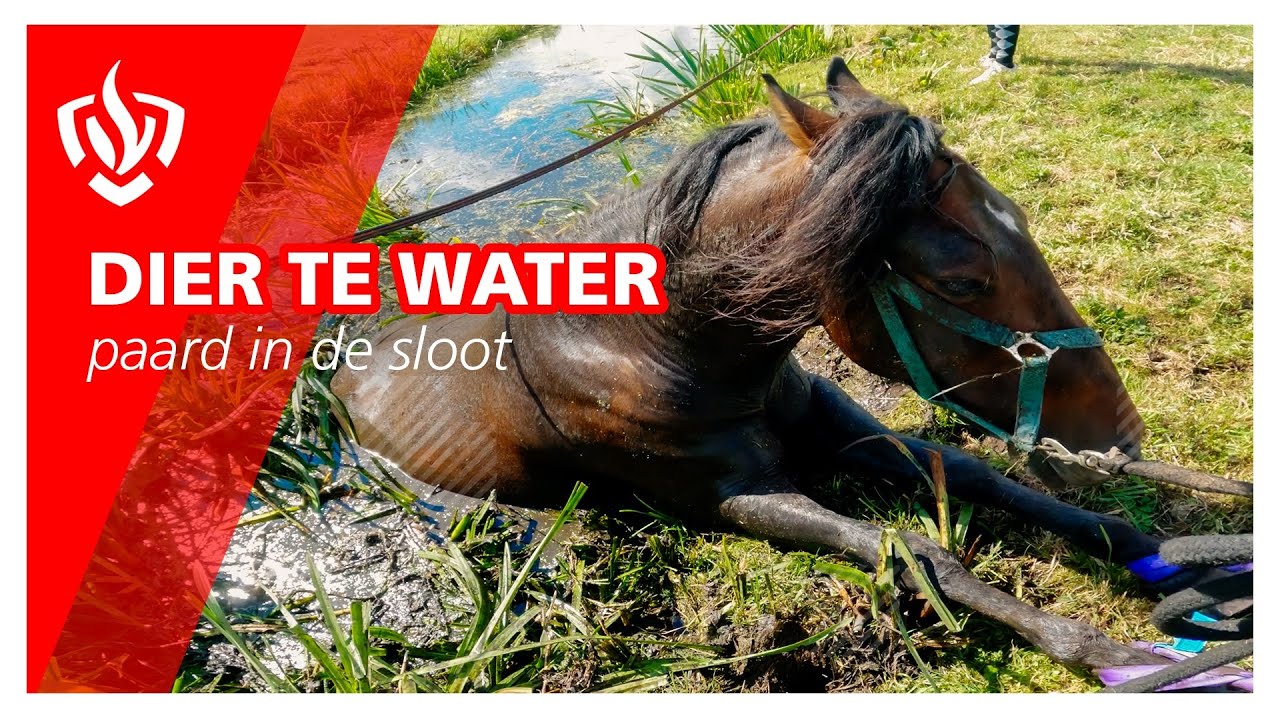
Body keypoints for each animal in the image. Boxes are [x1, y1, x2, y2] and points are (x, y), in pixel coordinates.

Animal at [332, 59, 1185, 671]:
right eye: (961, 282)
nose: (1121, 438)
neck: (648, 339)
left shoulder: (833, 422)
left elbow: (971, 473)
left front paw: (1138, 547)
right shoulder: (736, 497)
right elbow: (919, 553)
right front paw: (1106, 653)